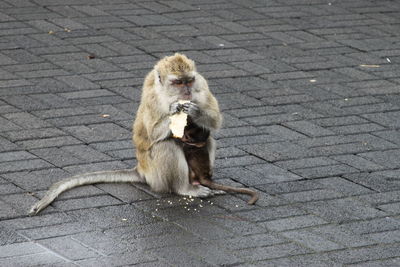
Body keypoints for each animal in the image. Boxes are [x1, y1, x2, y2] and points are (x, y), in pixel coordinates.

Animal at [29, 53, 258, 217]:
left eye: (189, 81)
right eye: (177, 82)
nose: (186, 92)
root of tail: (141, 169)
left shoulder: (201, 84)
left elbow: (215, 120)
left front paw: (195, 111)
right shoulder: (153, 97)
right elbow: (154, 133)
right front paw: (175, 109)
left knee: (207, 140)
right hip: (156, 174)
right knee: (166, 146)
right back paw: (185, 188)